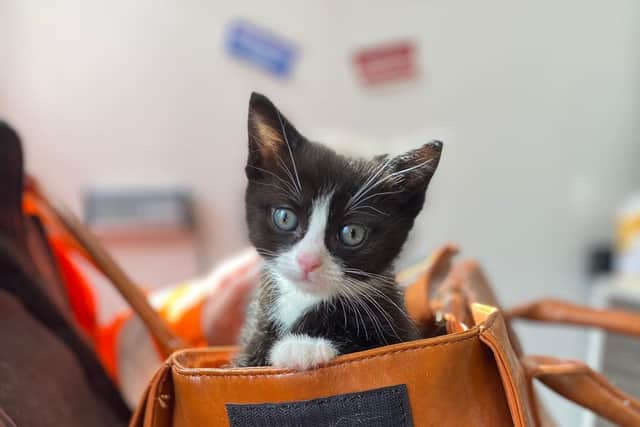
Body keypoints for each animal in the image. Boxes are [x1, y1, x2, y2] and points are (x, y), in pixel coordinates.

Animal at [232, 93, 442, 372]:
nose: (307, 261)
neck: (305, 300)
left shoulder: (397, 326)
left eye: (352, 233)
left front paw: (301, 347)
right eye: (285, 218)